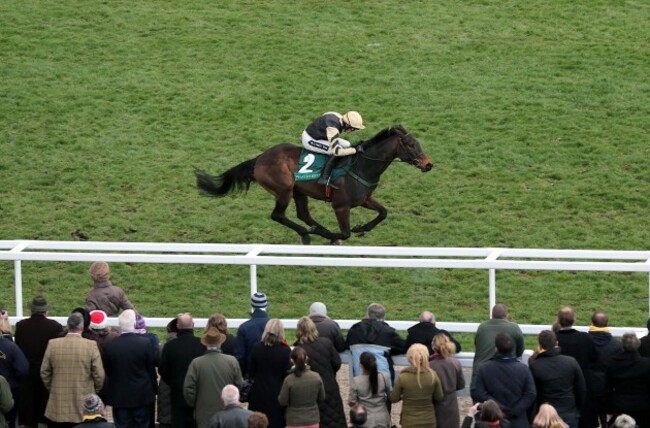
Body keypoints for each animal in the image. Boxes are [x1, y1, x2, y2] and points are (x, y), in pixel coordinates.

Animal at [195, 124, 432, 244]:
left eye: (418, 142)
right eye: (410, 144)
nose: (428, 164)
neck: (361, 166)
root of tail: (259, 159)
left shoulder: (364, 198)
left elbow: (383, 212)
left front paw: (361, 227)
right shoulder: (341, 206)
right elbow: (344, 233)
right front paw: (333, 236)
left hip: (299, 191)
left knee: (303, 214)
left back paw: (314, 229)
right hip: (284, 189)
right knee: (278, 215)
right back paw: (309, 233)